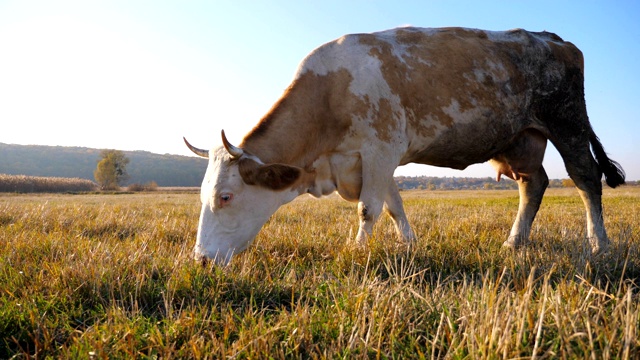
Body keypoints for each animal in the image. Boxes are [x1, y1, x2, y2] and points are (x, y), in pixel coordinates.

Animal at [185, 26, 624, 264]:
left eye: (225, 197)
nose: (201, 260)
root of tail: (553, 38)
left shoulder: (381, 148)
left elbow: (369, 208)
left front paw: (357, 251)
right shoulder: (371, 161)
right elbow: (394, 205)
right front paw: (409, 246)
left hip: (568, 123)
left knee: (586, 178)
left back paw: (598, 245)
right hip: (521, 140)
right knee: (534, 185)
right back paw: (514, 242)